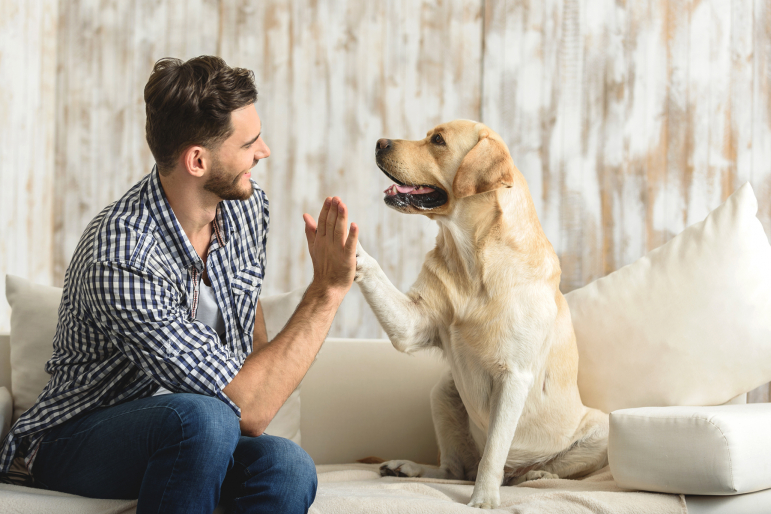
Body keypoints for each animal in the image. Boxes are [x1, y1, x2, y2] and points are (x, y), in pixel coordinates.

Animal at [354, 121, 608, 508]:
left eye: (438, 140)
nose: (380, 142)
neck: (472, 259)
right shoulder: (412, 325)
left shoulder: (514, 377)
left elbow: (494, 451)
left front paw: (484, 499)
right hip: (443, 392)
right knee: (453, 469)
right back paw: (407, 468)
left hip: (601, 429)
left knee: (536, 469)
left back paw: (534, 474)